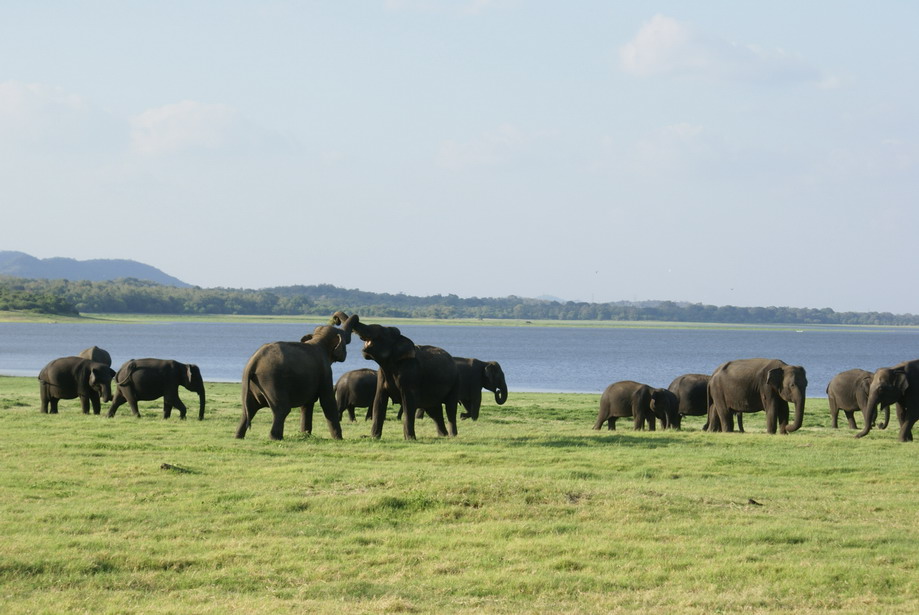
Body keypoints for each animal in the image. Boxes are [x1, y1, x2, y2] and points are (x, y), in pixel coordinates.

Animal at [330, 312, 460, 438]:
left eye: (382, 333)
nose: (335, 320)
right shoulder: (381, 376)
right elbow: (379, 401)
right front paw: (373, 437)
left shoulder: (410, 374)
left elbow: (408, 403)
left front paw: (410, 438)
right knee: (434, 410)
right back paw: (443, 435)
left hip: (455, 382)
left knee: (450, 408)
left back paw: (452, 435)